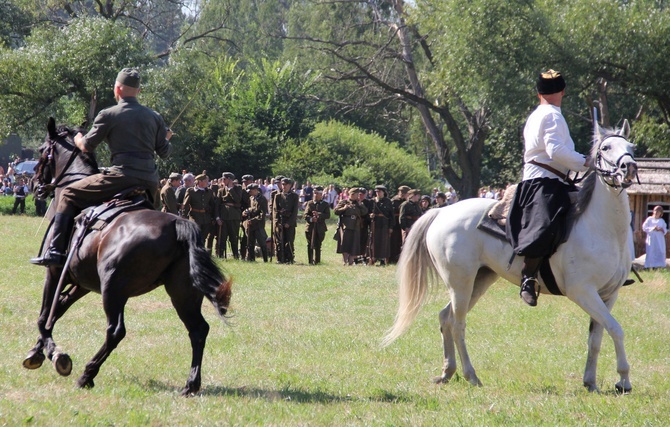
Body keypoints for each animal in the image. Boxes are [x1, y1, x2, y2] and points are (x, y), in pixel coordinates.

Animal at [23, 118, 234, 398]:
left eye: (41, 150)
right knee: (198, 330)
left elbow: (44, 315)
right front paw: (37, 352)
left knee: (115, 332)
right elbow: (56, 311)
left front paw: (57, 355)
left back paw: (87, 374)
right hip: (182, 293)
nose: (34, 185)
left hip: (114, 289)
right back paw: (191, 384)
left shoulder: (56, 273)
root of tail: (177, 224)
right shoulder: (82, 284)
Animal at [386, 121, 636, 394]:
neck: (602, 227)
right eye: (606, 147)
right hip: (460, 283)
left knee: (446, 318)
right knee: (458, 324)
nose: (629, 167)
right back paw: (471, 375)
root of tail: (442, 211)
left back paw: (448, 372)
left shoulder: (608, 295)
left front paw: (591, 381)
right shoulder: (583, 292)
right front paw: (624, 380)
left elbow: (597, 337)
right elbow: (617, 329)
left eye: (631, 146)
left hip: (480, 280)